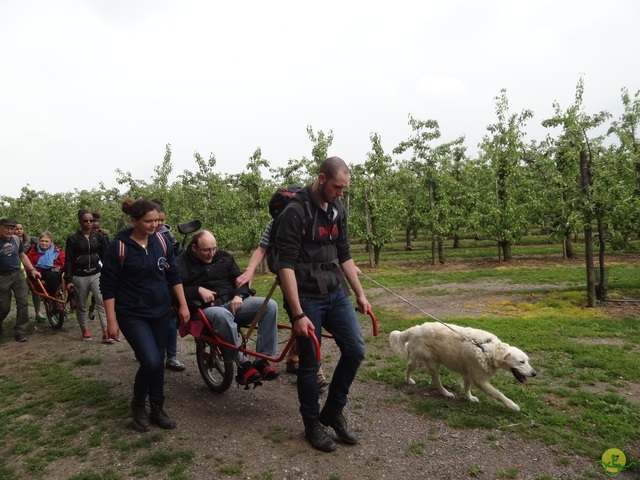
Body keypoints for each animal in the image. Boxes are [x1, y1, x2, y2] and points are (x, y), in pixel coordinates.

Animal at [390, 320, 536, 410]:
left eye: (528, 361)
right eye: (521, 362)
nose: (535, 373)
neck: (486, 349)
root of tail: (415, 329)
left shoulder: (468, 375)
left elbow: (467, 388)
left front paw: (470, 398)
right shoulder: (480, 380)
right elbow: (498, 394)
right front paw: (512, 405)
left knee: (410, 366)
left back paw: (409, 380)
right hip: (432, 362)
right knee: (434, 380)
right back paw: (445, 393)